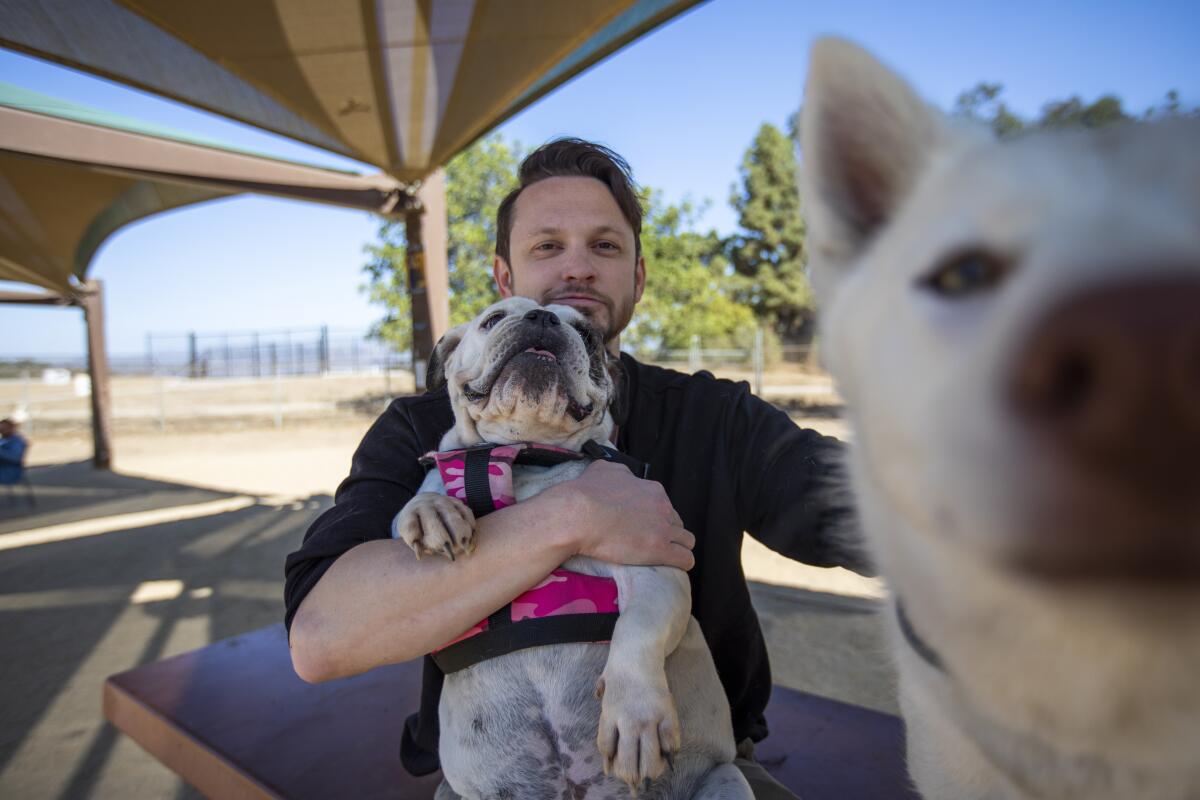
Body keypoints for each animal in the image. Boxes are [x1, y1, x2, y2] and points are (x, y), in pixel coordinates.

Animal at [391, 298, 748, 800]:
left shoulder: (654, 570)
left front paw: (634, 717)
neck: (527, 454)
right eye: (493, 320)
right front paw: (432, 510)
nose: (541, 318)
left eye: (588, 334)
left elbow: (636, 631)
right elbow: (422, 497)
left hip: (724, 777)